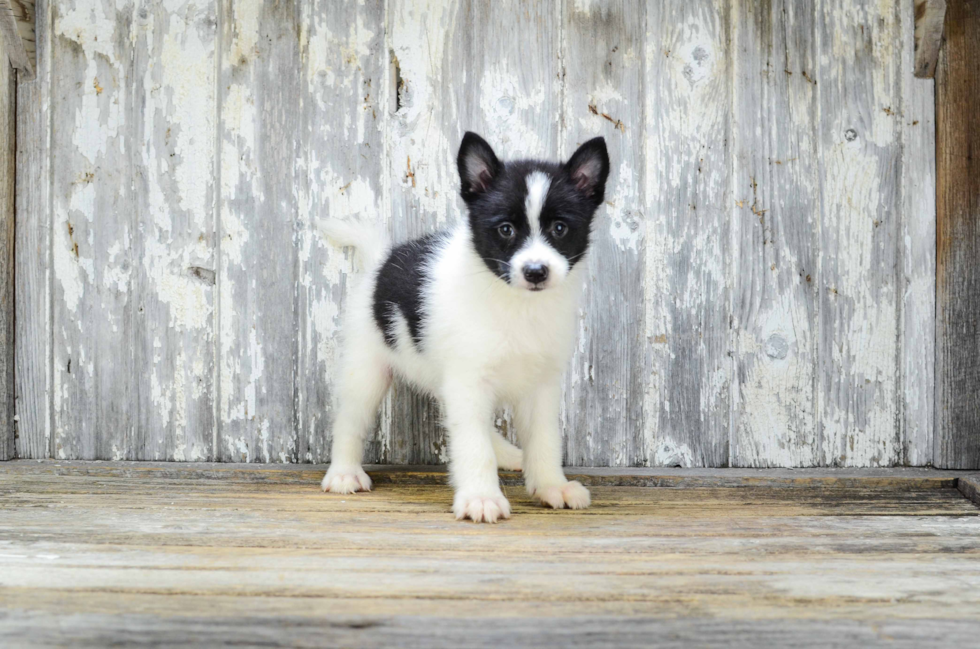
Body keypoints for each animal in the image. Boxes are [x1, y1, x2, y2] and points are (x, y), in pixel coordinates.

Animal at [322, 132, 608, 520]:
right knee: (350, 419)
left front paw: (551, 486)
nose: (536, 272)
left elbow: (544, 438)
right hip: (365, 368)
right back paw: (344, 472)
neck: (515, 303)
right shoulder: (468, 379)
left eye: (560, 228)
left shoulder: (541, 384)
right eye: (506, 229)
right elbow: (472, 443)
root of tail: (381, 262)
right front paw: (480, 497)